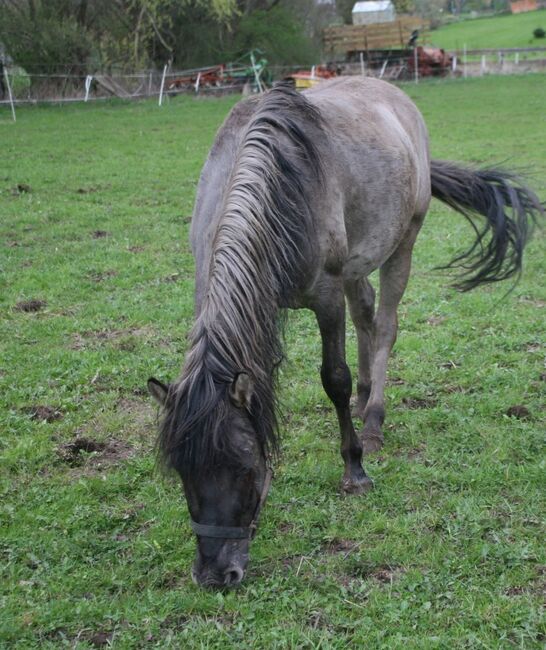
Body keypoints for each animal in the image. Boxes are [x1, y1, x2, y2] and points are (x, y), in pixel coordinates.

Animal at [147, 77, 540, 588]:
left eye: (243, 465)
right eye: (181, 471)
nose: (216, 574)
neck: (275, 185)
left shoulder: (326, 297)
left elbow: (334, 378)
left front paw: (355, 467)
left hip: (402, 245)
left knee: (385, 326)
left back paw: (372, 419)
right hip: (360, 261)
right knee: (366, 314)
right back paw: (365, 398)